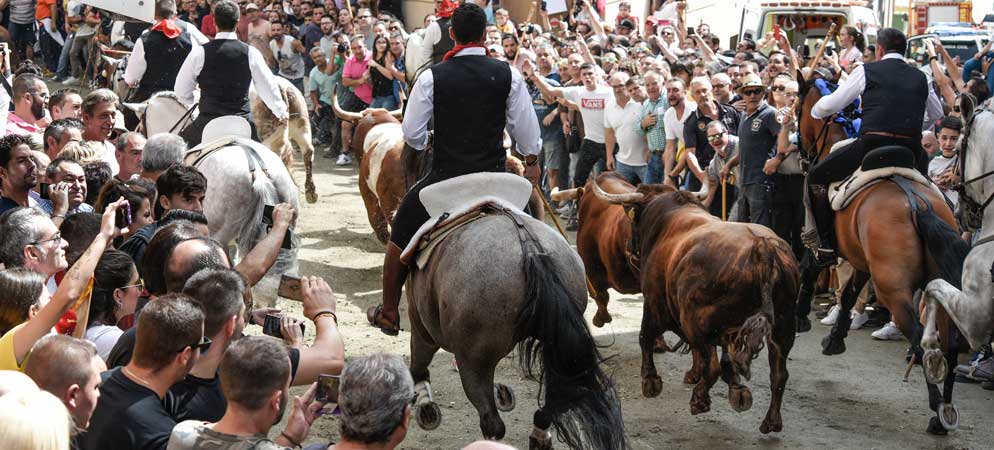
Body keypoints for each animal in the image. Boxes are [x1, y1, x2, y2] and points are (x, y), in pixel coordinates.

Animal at [588, 180, 800, 436]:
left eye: (634, 220)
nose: (629, 247)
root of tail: (763, 248)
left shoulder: (655, 303)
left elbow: (645, 336)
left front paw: (650, 380)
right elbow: (727, 359)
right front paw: (736, 388)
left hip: (696, 321)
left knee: (712, 365)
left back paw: (699, 399)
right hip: (784, 326)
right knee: (779, 374)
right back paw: (771, 421)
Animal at [800, 82, 968, 434]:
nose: (800, 152)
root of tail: (918, 204)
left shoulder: (828, 246)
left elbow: (813, 266)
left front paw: (800, 317)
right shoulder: (862, 261)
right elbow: (849, 294)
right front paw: (834, 339)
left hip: (894, 290)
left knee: (921, 341)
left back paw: (937, 407)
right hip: (938, 288)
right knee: (950, 345)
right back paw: (944, 412)